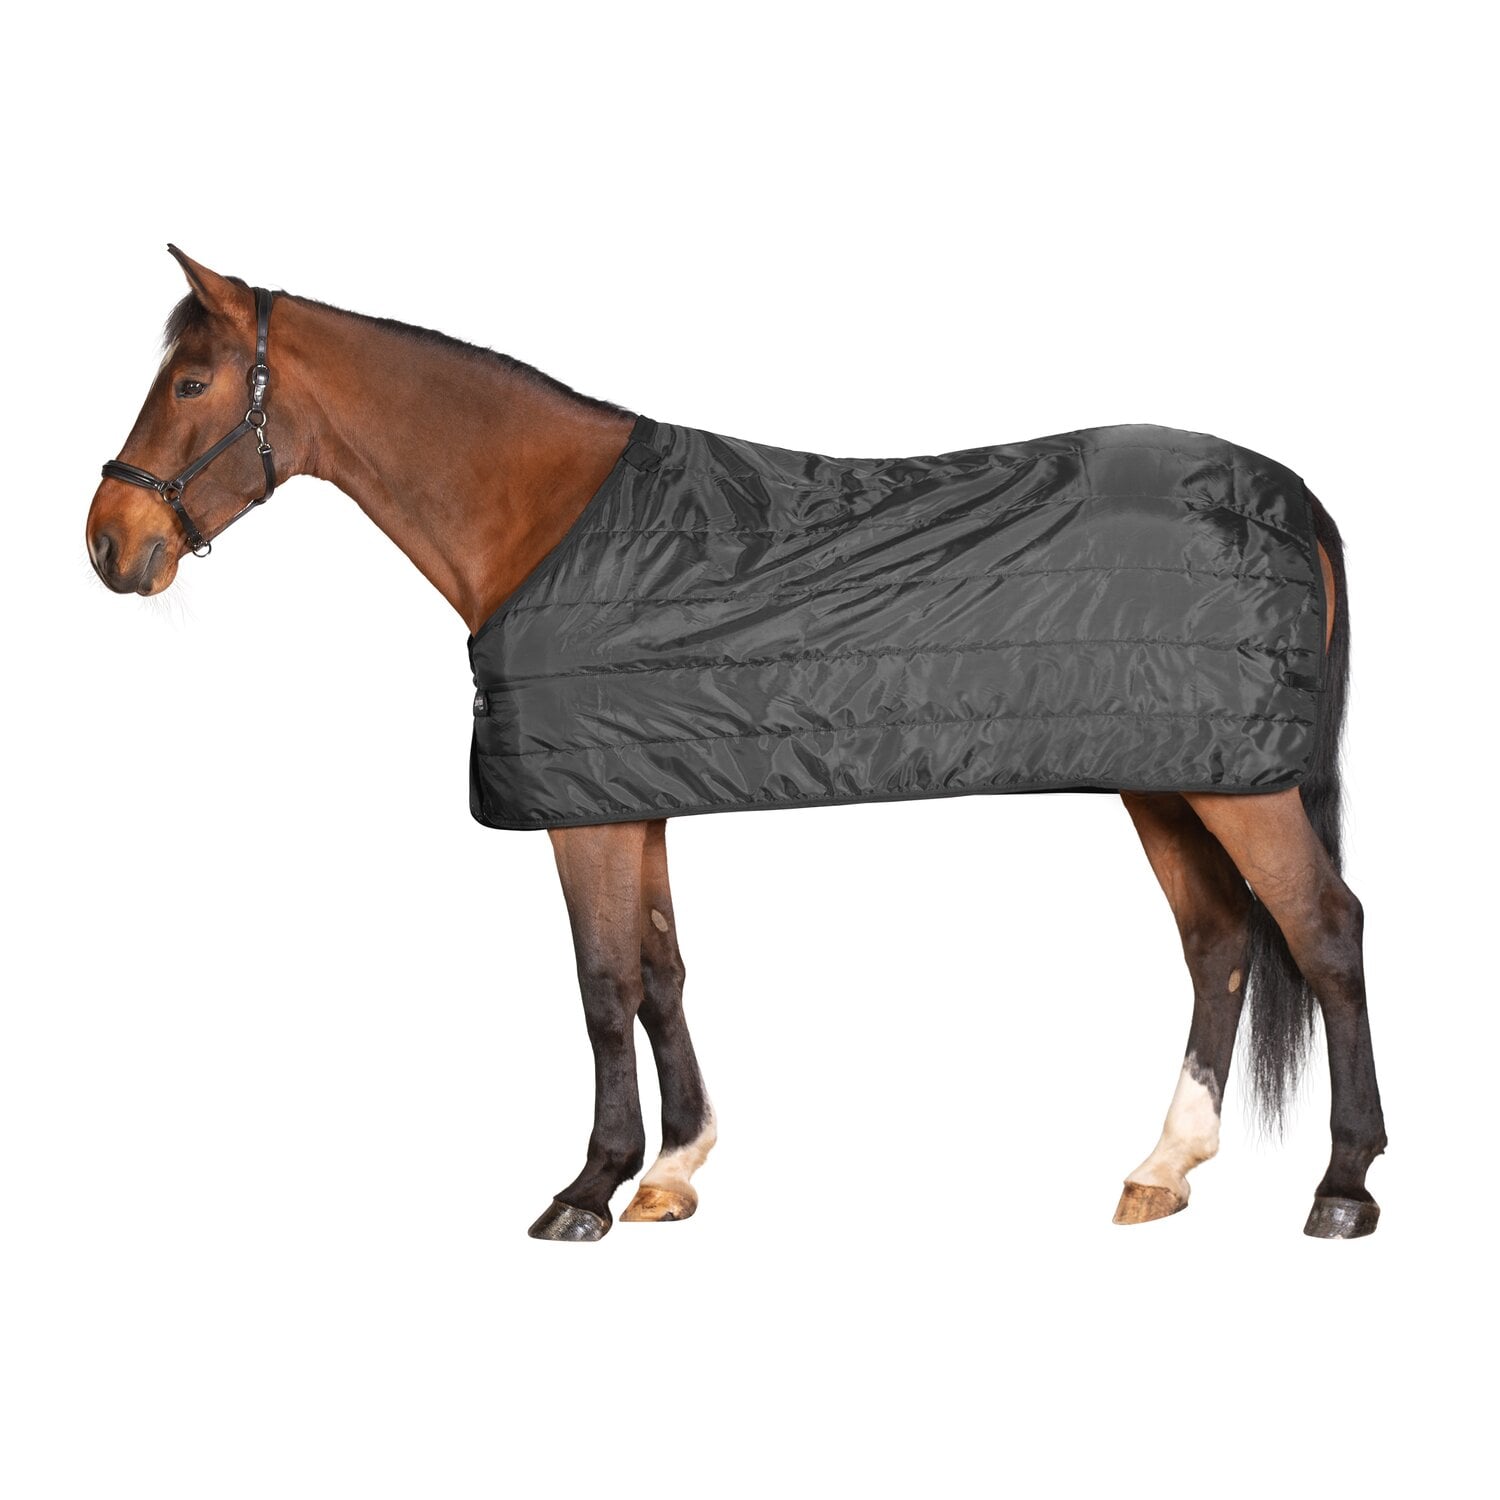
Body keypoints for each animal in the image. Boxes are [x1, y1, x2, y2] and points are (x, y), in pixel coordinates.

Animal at [85, 247, 1386, 1241]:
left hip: (1238, 785)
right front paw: (673, 1170)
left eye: (192, 381)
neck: (544, 522)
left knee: (1323, 930)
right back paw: (1165, 1167)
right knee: (1219, 940)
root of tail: (1290, 493)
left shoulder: (587, 814)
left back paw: (1343, 1187)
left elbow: (602, 985)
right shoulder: (633, 792)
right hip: (1173, 774)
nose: (108, 541)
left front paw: (588, 1188)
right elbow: (660, 971)